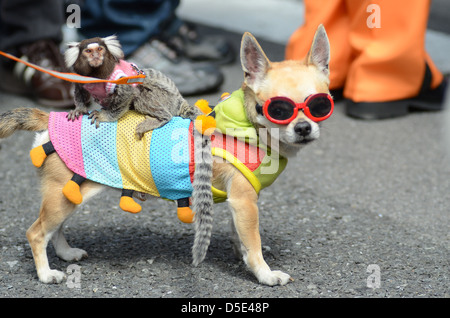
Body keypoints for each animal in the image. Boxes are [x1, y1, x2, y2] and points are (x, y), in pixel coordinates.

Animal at [64, 35, 198, 139]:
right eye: (88, 51)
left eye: (100, 49)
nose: (96, 55)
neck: (96, 74)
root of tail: (179, 101)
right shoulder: (80, 77)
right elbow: (80, 92)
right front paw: (79, 109)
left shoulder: (119, 78)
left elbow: (128, 94)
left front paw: (105, 116)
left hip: (166, 99)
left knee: (141, 94)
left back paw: (160, 119)